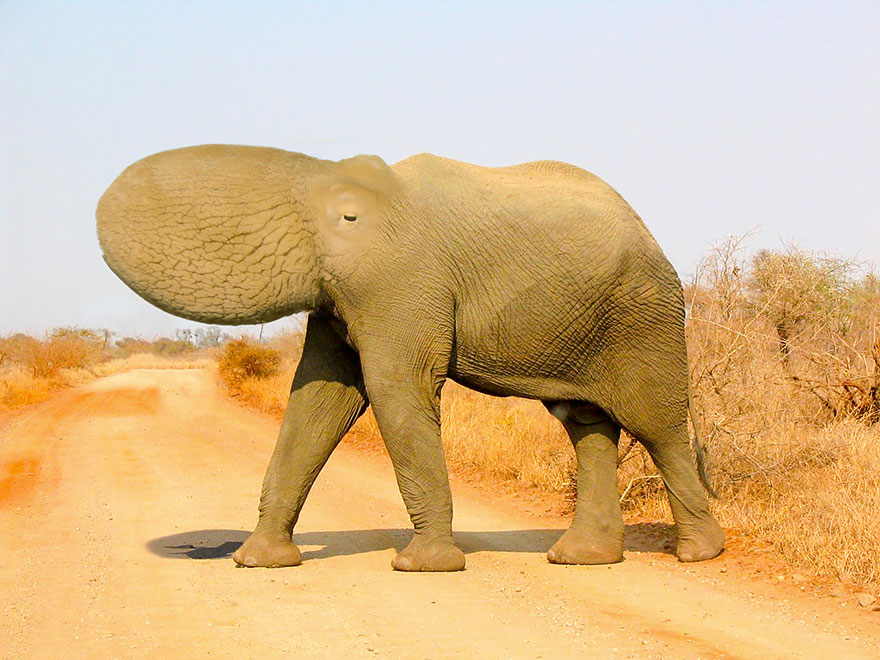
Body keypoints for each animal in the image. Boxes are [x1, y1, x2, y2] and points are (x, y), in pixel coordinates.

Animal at [96, 144, 724, 572]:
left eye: (346, 218)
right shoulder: (344, 297)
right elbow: (319, 399)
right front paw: (258, 563)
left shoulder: (402, 279)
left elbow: (395, 388)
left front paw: (423, 568)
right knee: (585, 423)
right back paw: (582, 558)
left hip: (644, 315)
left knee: (658, 425)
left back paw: (698, 555)